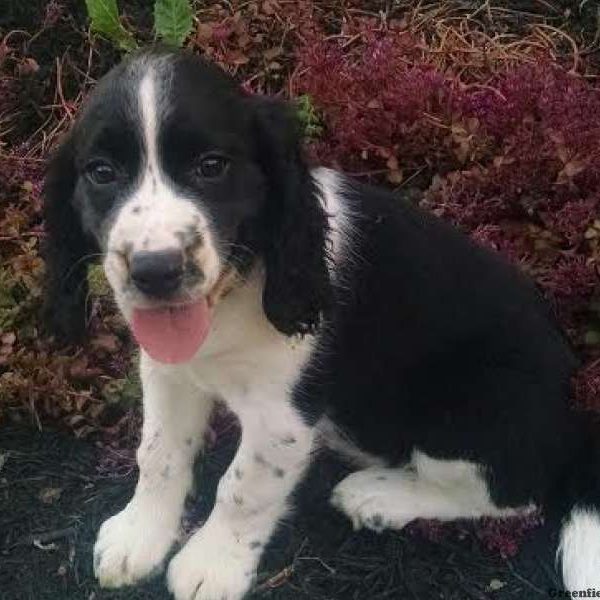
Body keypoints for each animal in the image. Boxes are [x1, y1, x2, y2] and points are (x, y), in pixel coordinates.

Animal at [43, 50, 600, 600]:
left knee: (515, 491)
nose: (155, 271)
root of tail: (572, 411)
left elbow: (242, 486)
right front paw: (138, 536)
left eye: (211, 167)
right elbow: (158, 452)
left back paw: (378, 496)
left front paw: (211, 565)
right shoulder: (170, 371)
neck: (237, 288)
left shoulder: (282, 416)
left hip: (470, 404)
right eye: (101, 172)